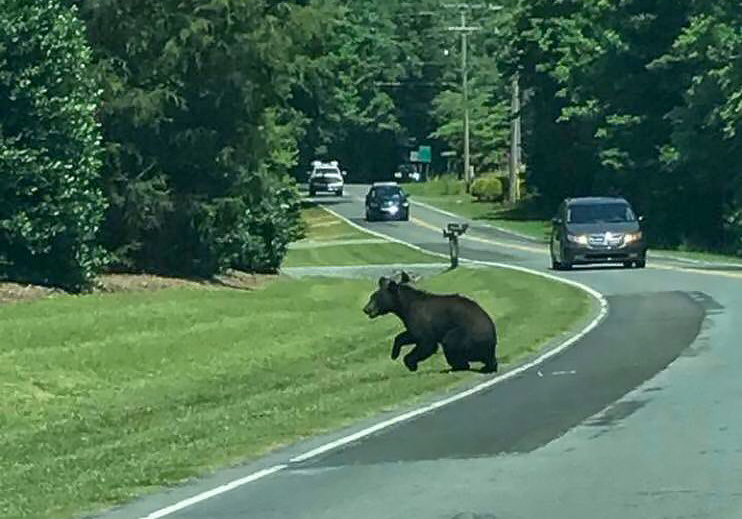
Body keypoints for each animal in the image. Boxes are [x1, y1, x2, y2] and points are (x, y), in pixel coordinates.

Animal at [362, 272, 500, 374]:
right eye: (371, 297)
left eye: (376, 298)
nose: (366, 309)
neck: (405, 305)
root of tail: (493, 339)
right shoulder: (412, 322)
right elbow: (407, 335)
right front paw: (394, 354)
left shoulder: (421, 319)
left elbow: (426, 343)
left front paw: (411, 364)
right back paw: (486, 366)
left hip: (467, 335)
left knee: (450, 341)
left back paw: (457, 366)